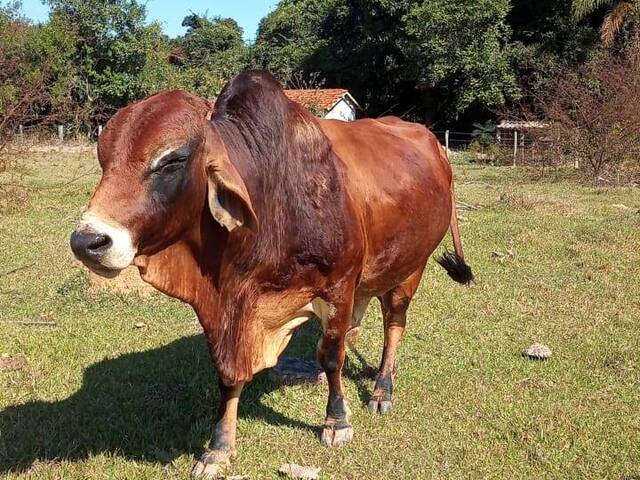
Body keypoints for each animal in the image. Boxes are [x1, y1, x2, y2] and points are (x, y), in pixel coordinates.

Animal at [70, 70, 472, 476]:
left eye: (172, 160)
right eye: (104, 158)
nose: (88, 241)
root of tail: (434, 144)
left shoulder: (338, 285)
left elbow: (332, 355)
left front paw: (337, 422)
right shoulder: (230, 311)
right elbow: (229, 375)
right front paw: (218, 448)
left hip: (410, 268)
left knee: (393, 325)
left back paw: (381, 390)